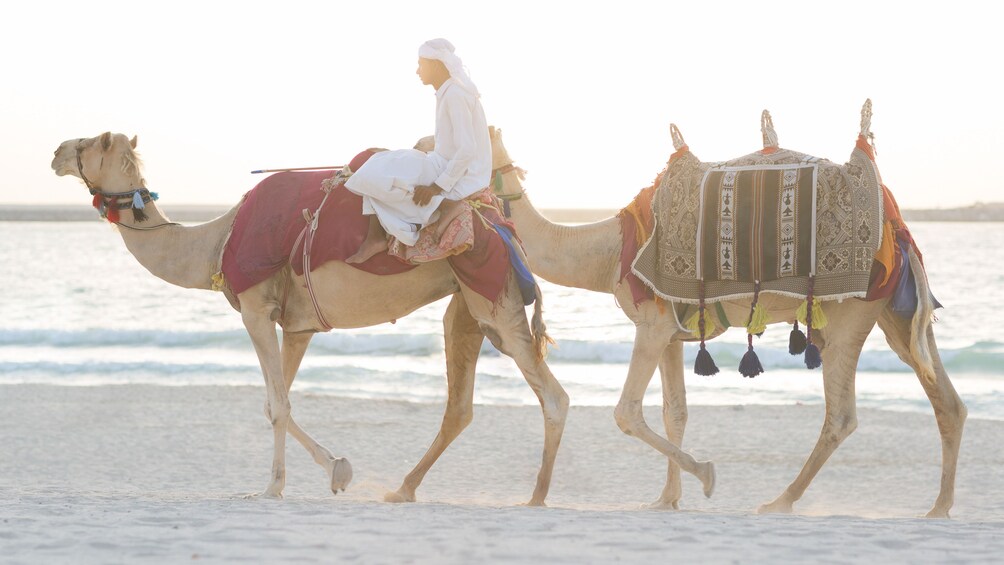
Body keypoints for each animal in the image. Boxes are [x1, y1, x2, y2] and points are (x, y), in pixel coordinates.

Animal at [52, 133, 566, 507]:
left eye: (93, 143)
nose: (57, 151)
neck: (215, 242)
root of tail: (501, 225)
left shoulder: (256, 308)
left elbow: (279, 405)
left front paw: (273, 487)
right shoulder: (296, 325)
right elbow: (274, 402)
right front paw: (338, 469)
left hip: (492, 294)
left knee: (553, 396)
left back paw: (537, 497)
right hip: (467, 304)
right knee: (460, 405)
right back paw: (403, 489)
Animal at [489, 113, 967, 517]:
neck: (609, 253)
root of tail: (896, 227)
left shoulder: (652, 323)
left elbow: (626, 412)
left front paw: (706, 476)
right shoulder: (670, 331)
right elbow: (675, 411)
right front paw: (666, 499)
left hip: (851, 311)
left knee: (841, 415)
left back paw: (779, 501)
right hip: (893, 313)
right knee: (945, 397)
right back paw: (939, 507)